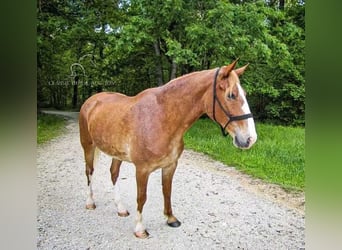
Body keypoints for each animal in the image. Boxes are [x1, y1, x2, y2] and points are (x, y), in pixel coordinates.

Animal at [79, 58, 256, 238]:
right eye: (231, 95)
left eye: (245, 94)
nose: (250, 138)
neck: (161, 117)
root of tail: (92, 100)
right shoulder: (142, 169)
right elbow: (141, 197)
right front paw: (140, 229)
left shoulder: (170, 165)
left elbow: (167, 191)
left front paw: (171, 218)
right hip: (88, 147)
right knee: (89, 172)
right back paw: (90, 202)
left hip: (117, 154)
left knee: (114, 174)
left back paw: (120, 209)